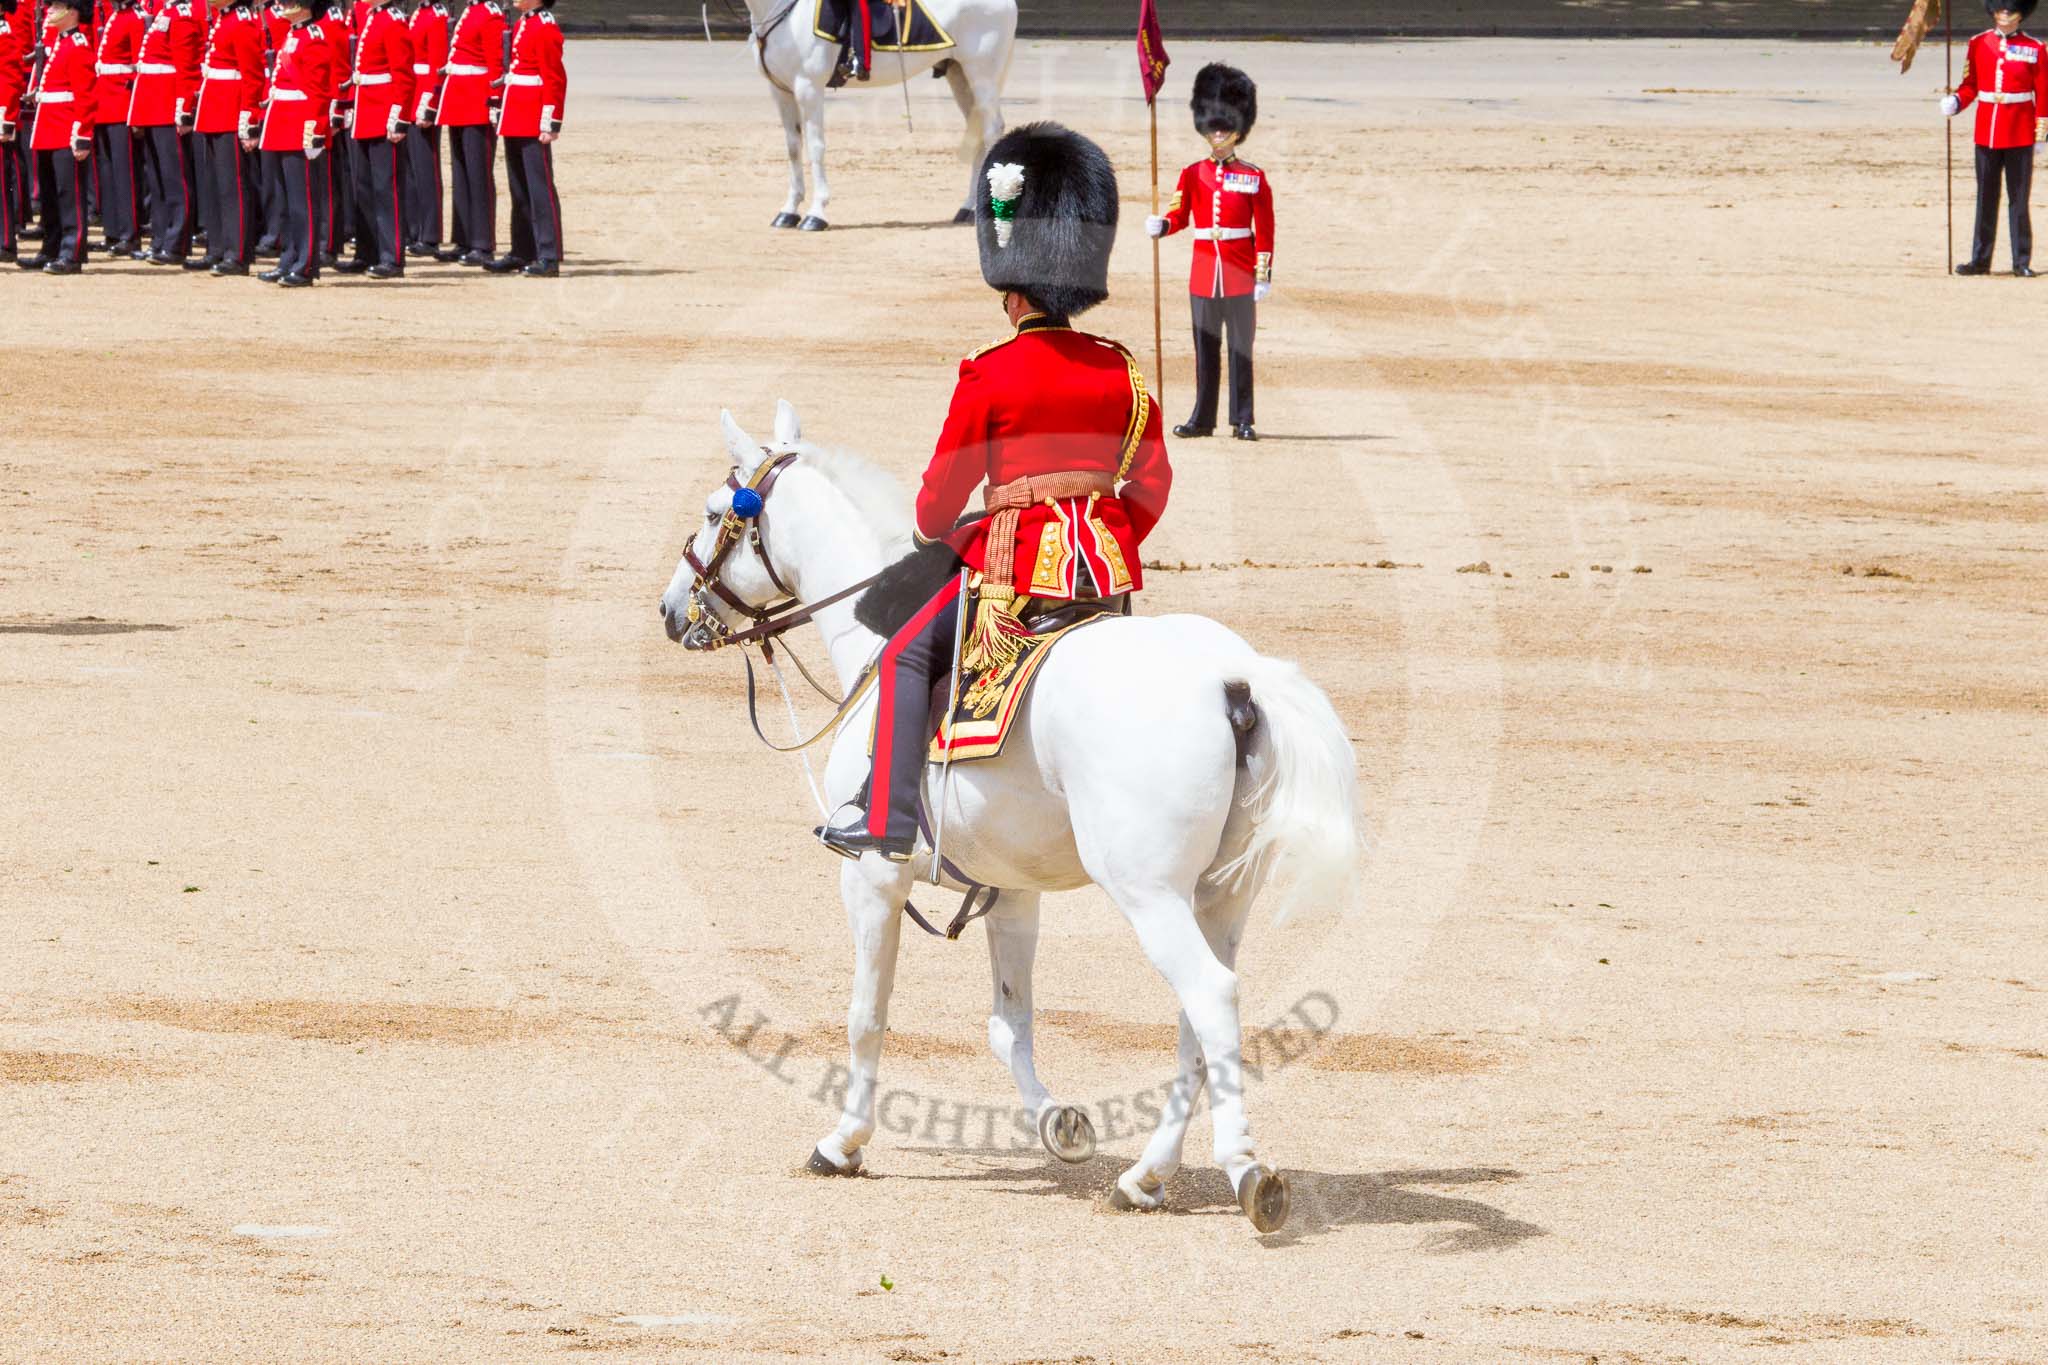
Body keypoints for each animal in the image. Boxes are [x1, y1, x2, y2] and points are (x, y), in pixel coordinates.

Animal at [659, 402, 1361, 1232]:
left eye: (716, 512)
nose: (671, 608)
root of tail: (1234, 678)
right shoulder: (1011, 891)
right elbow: (1008, 1022)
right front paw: (1059, 1124)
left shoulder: (872, 875)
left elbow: (867, 1013)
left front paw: (844, 1140)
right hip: (1218, 897)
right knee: (1195, 1019)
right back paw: (1145, 1175)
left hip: (1149, 893)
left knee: (1212, 1000)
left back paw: (1248, 1172)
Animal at [735, 0, 1017, 230]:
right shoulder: (781, 91)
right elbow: (793, 148)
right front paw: (789, 211)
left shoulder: (809, 88)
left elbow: (816, 148)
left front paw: (816, 214)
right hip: (959, 76)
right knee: (979, 135)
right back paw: (968, 208)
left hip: (982, 76)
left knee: (991, 131)